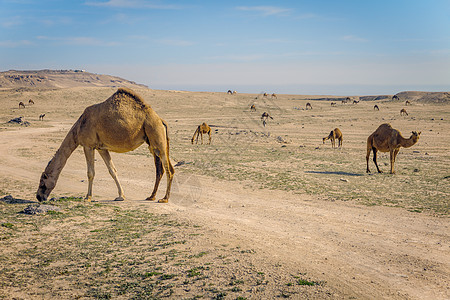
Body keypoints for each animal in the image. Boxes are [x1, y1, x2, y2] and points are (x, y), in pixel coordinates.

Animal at [35, 88, 174, 203]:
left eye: (42, 182)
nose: (38, 197)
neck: (78, 127)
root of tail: (161, 120)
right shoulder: (101, 148)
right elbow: (112, 170)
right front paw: (121, 196)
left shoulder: (88, 145)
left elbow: (90, 173)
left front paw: (87, 197)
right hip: (153, 142)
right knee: (159, 170)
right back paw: (151, 196)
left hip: (157, 136)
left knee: (169, 169)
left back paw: (164, 199)